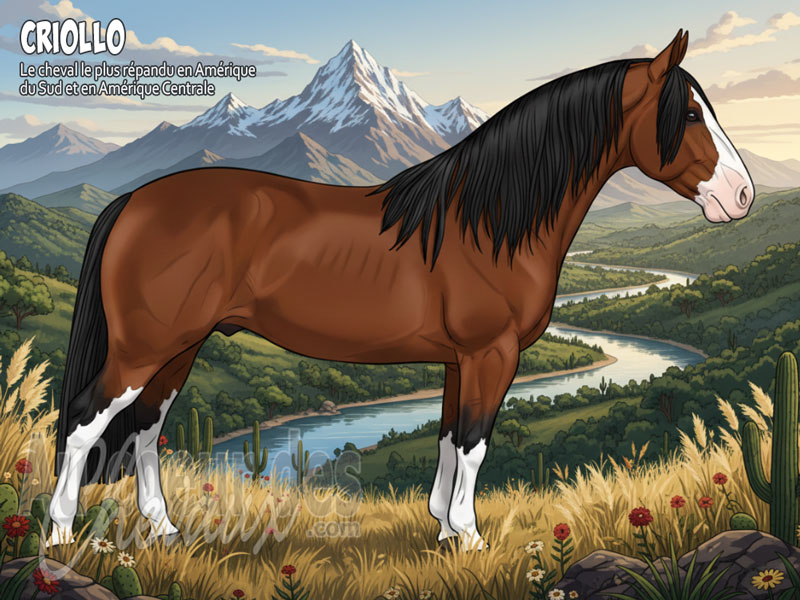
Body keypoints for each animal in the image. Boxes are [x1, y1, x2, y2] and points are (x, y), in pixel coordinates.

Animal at [50, 30, 753, 550]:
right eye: (690, 113)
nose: (742, 196)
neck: (488, 221)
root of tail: (133, 201)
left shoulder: (459, 360)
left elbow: (447, 438)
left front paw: (442, 529)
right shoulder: (491, 354)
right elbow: (475, 443)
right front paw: (470, 538)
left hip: (180, 347)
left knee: (145, 429)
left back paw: (163, 528)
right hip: (145, 348)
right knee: (86, 421)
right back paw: (60, 535)